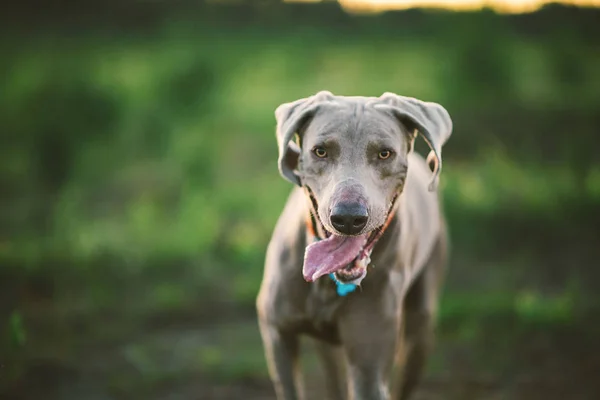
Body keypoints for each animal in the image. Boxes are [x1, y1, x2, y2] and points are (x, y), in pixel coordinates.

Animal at [255, 91, 452, 400]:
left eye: (385, 153)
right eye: (320, 151)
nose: (348, 218)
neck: (330, 283)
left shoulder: (369, 362)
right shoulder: (277, 333)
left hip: (421, 321)